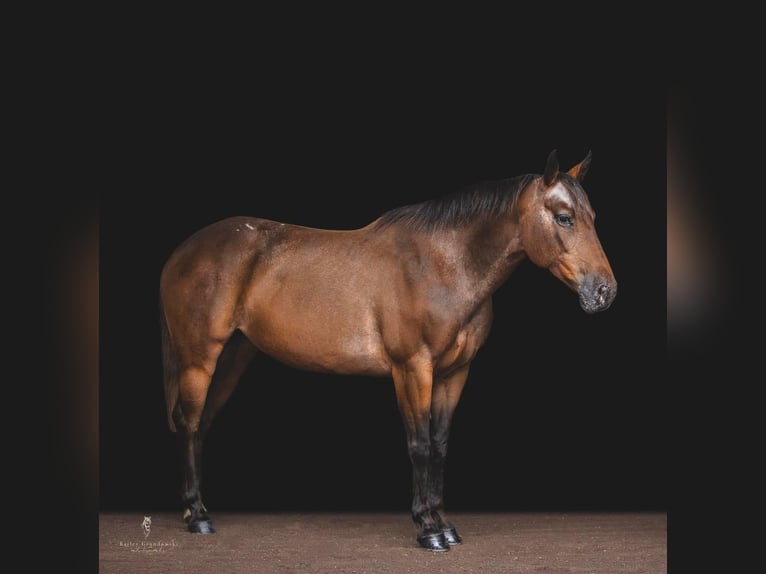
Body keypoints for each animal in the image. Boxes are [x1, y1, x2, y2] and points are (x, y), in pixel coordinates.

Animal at [160, 150, 616, 552]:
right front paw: (427, 530)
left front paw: (445, 525)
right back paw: (198, 516)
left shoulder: (455, 373)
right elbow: (419, 445)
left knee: (201, 424)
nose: (605, 291)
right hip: (199, 360)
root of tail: (181, 253)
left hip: (234, 357)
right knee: (190, 423)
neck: (443, 265)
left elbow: (440, 445)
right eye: (564, 217)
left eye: (593, 218)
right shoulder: (412, 368)